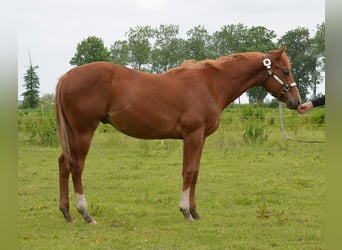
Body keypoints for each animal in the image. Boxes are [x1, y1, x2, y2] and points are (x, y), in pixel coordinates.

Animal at [55, 47, 300, 225]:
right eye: (285, 71)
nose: (296, 102)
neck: (210, 85)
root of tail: (67, 76)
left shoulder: (201, 138)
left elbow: (196, 173)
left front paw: (195, 211)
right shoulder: (193, 135)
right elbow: (188, 172)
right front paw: (186, 212)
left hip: (72, 134)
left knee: (64, 164)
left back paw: (66, 213)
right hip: (84, 131)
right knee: (77, 167)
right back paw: (85, 214)